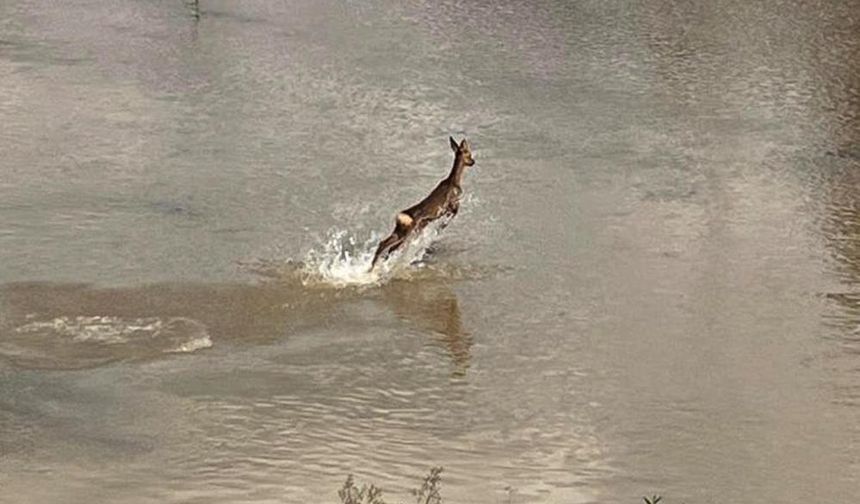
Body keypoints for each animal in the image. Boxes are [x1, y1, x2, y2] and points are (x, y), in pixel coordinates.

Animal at [370, 136, 478, 272]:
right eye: (468, 153)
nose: (473, 161)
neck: (455, 182)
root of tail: (400, 216)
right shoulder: (451, 204)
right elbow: (451, 215)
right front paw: (441, 228)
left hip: (400, 231)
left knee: (385, 245)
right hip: (407, 232)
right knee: (389, 246)